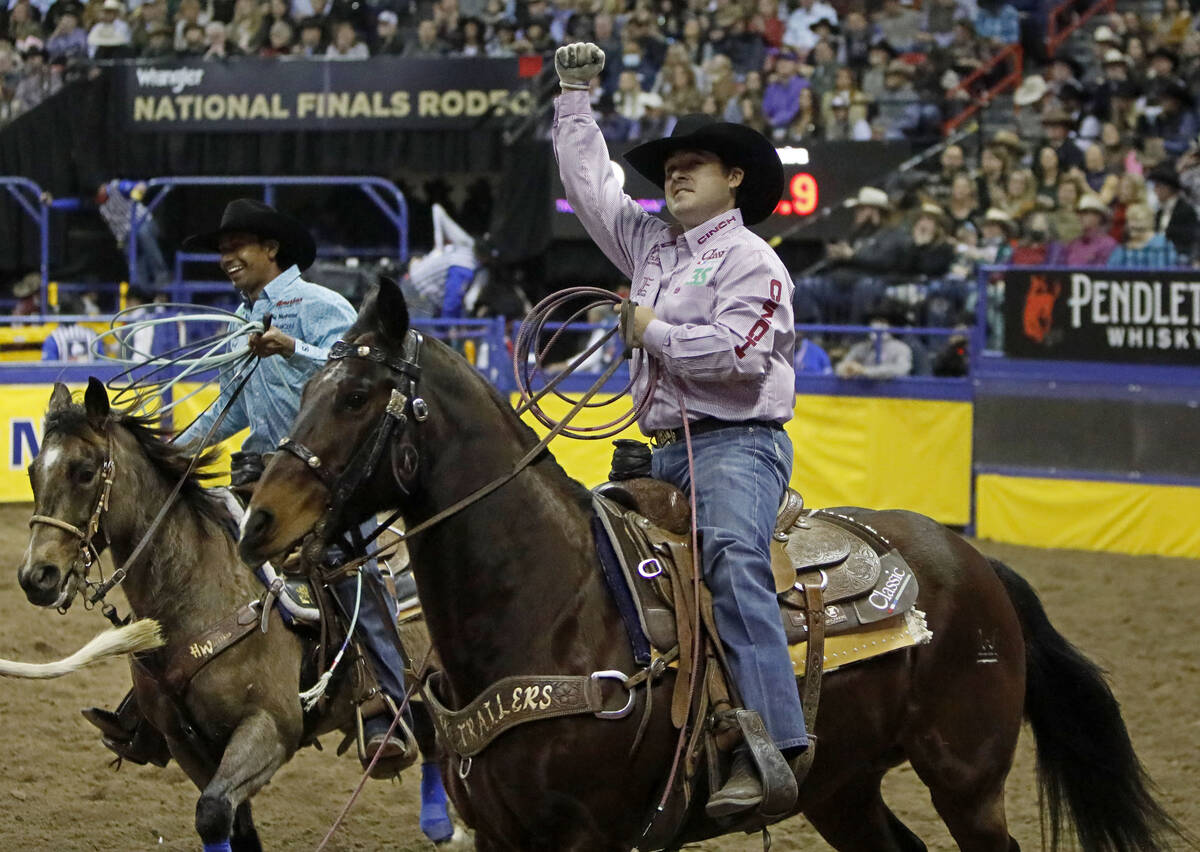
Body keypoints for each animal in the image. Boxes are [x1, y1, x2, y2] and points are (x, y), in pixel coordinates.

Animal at [15, 386, 463, 852]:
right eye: (32, 472)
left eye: (85, 472)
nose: (36, 577)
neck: (198, 588)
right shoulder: (186, 744)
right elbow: (233, 824)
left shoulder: (271, 727)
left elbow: (213, 813)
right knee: (431, 733)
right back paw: (439, 826)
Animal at [236, 277, 1180, 849]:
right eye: (304, 386)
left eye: (358, 396)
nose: (260, 518)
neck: (552, 607)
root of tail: (973, 562)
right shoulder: (504, 834)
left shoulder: (590, 836)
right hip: (841, 786)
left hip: (968, 779)